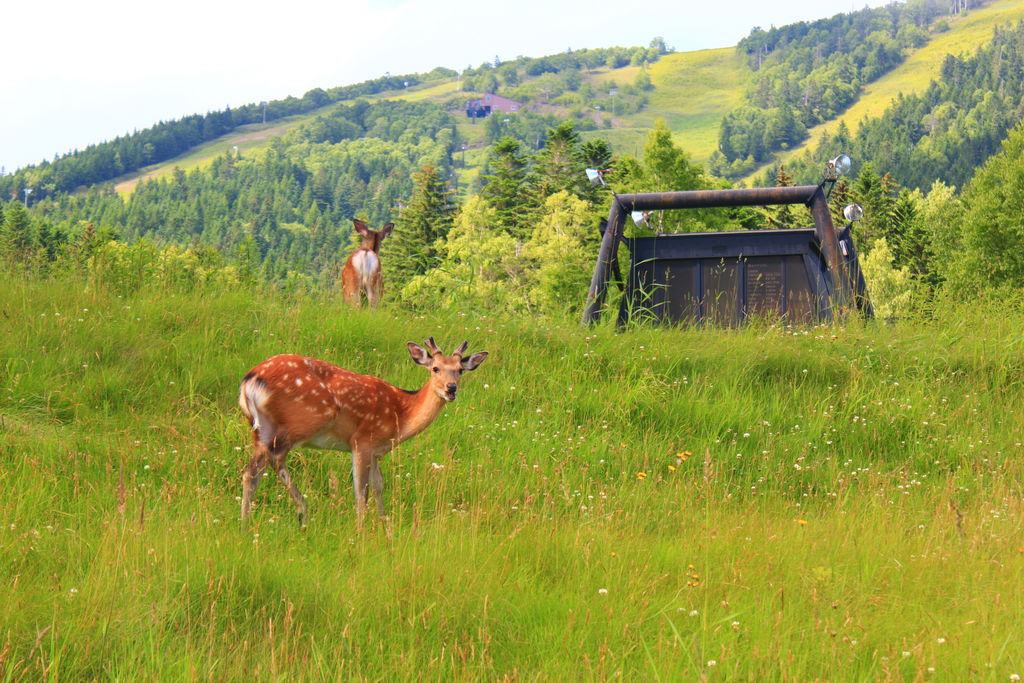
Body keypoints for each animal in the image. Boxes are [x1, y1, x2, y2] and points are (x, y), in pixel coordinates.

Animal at [237, 339, 485, 528]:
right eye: (435, 369)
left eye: (460, 370)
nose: (451, 388)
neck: (402, 415)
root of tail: (250, 380)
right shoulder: (362, 440)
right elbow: (361, 491)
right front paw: (360, 530)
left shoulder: (376, 451)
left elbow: (378, 486)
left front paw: (384, 526)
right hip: (303, 420)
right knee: (274, 459)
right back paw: (303, 511)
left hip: (261, 428)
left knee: (252, 471)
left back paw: (245, 523)